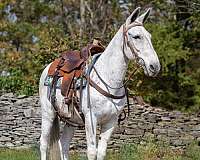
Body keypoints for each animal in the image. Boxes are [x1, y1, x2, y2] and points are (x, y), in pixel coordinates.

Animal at [39, 7, 161, 160]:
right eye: (136, 36)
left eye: (149, 36)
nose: (155, 66)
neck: (108, 81)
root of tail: (49, 67)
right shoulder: (91, 119)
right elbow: (92, 152)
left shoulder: (111, 122)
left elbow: (101, 152)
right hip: (48, 113)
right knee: (44, 143)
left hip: (71, 120)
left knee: (64, 144)